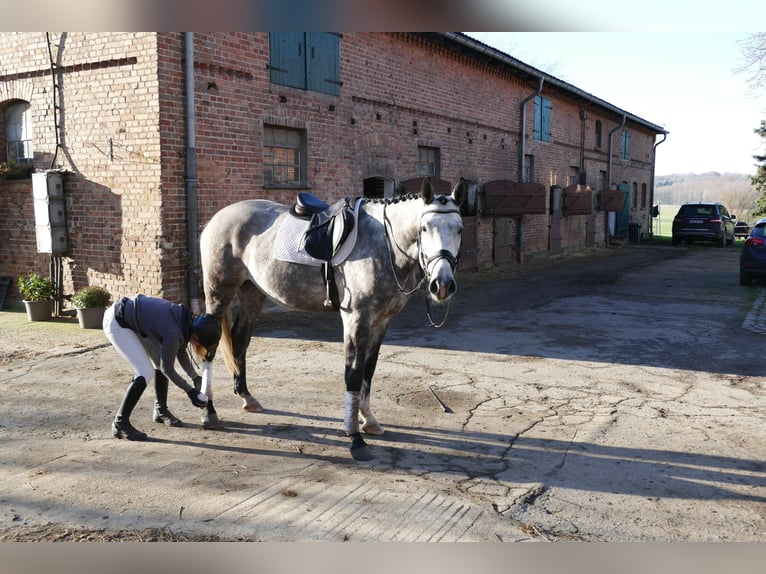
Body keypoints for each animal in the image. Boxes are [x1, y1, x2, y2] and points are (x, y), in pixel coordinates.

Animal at [197, 177, 465, 460]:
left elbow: (369, 369)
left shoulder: (381, 322)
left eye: (459, 229)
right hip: (217, 294)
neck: (384, 244)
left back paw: (247, 398)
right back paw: (209, 412)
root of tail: (216, 220)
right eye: (424, 228)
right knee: (210, 349)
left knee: (239, 340)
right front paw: (355, 438)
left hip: (252, 294)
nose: (442, 285)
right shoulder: (356, 318)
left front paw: (368, 420)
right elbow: (353, 374)